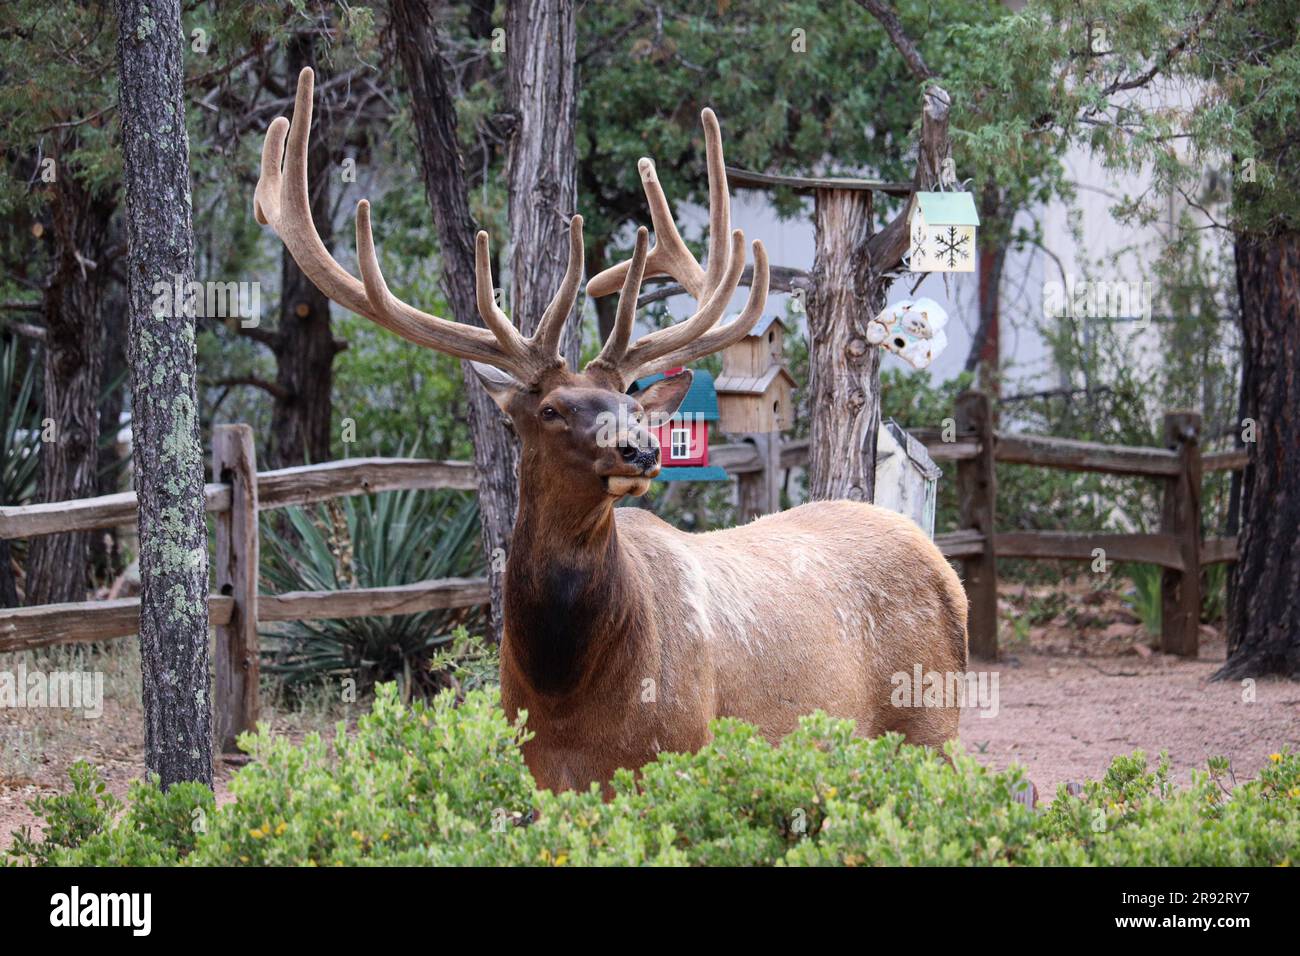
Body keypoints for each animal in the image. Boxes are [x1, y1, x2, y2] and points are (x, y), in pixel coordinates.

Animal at [256, 69, 967, 790]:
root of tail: (946, 569)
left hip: (932, 730)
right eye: (549, 409)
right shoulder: (546, 778)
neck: (566, 694)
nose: (642, 449)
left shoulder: (677, 755)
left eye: (631, 403)